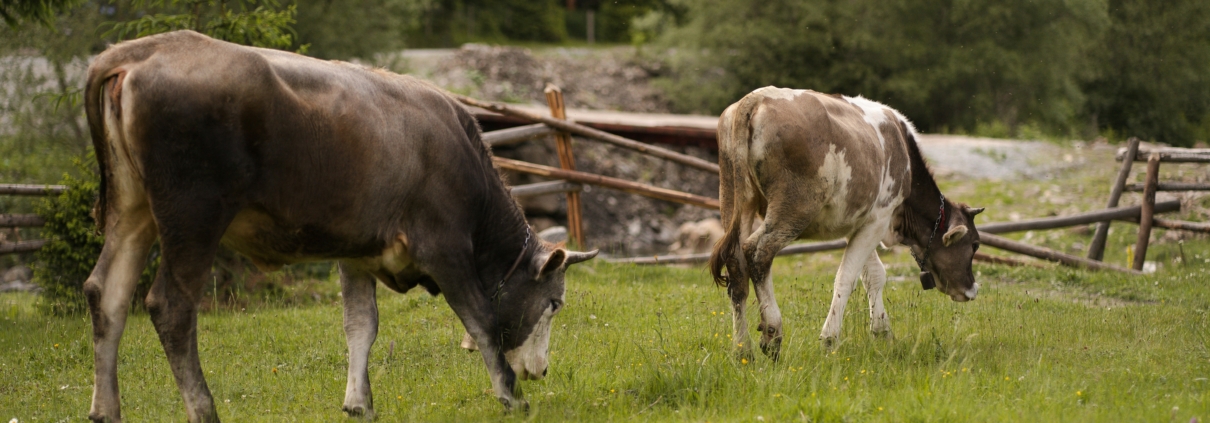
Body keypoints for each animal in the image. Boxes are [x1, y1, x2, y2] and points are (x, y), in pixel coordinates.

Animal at [82, 30, 597, 423]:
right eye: (555, 303)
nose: (542, 372)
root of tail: (141, 49)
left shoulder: (358, 253)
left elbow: (360, 326)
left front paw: (358, 403)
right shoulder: (444, 246)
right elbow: (482, 320)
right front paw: (513, 397)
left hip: (132, 211)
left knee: (106, 294)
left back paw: (106, 410)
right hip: (193, 216)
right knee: (171, 307)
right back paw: (204, 410)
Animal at [706, 87, 982, 357]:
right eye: (975, 244)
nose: (972, 289)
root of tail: (756, 97)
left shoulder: (859, 223)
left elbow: (874, 275)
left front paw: (882, 331)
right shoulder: (879, 219)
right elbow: (846, 277)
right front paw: (830, 339)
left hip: (735, 200)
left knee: (736, 266)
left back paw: (742, 349)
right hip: (793, 208)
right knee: (757, 251)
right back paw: (772, 334)